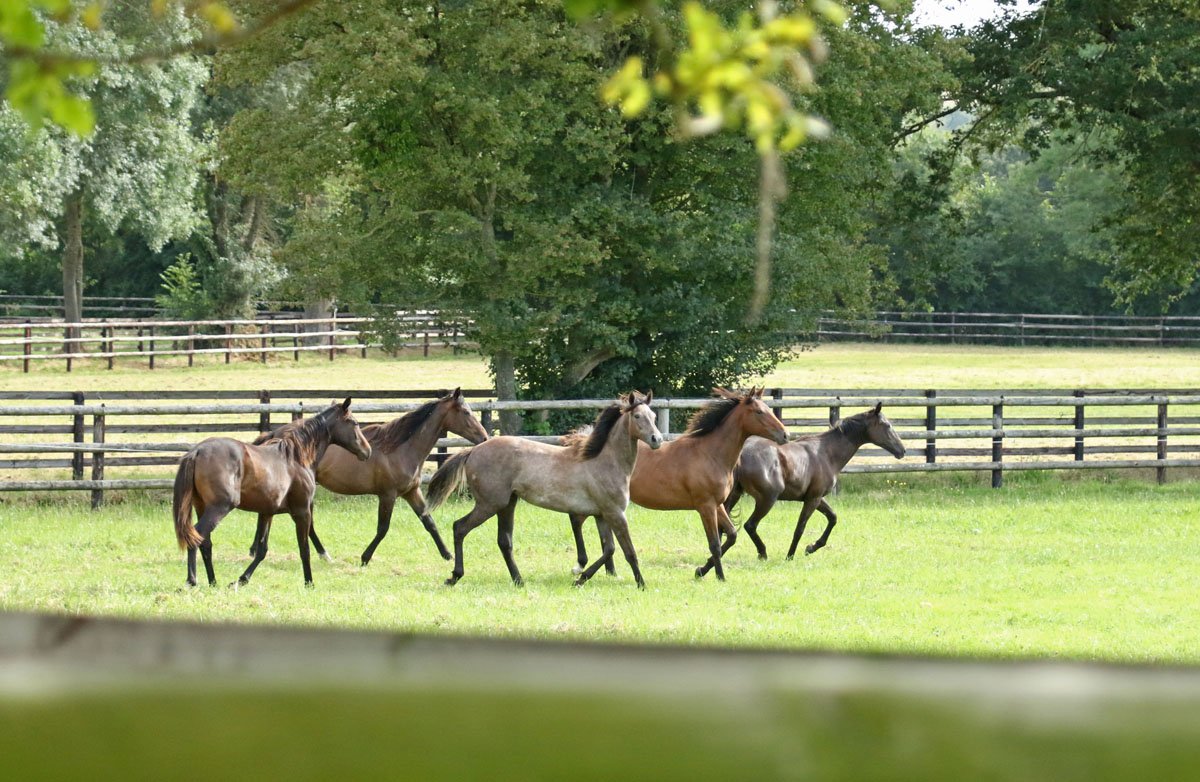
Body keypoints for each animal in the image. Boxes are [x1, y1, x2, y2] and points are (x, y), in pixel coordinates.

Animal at [172, 399, 371, 588]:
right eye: (354, 422)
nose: (367, 451)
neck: (296, 457)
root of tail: (197, 451)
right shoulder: (302, 512)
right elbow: (304, 549)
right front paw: (309, 583)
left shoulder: (267, 513)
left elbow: (261, 550)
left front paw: (241, 580)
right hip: (219, 508)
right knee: (196, 536)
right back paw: (191, 581)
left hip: (201, 507)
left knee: (205, 542)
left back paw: (213, 582)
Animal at [249, 388, 489, 566]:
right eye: (466, 412)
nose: (484, 437)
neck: (400, 448)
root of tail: (274, 434)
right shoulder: (388, 495)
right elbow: (383, 529)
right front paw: (365, 558)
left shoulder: (411, 492)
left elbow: (429, 521)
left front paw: (447, 554)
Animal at [425, 392, 662, 588]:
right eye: (637, 416)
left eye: (653, 416)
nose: (657, 439)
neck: (604, 461)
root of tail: (473, 451)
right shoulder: (616, 514)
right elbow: (629, 551)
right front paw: (641, 584)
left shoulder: (602, 515)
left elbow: (609, 549)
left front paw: (580, 578)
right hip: (489, 504)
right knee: (460, 528)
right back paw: (455, 576)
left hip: (507, 504)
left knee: (504, 542)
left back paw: (518, 580)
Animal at [570, 387, 789, 581]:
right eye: (759, 412)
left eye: (769, 409)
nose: (785, 435)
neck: (710, 454)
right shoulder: (705, 506)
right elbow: (715, 545)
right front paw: (719, 576)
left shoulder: (717, 505)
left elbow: (732, 535)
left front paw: (701, 570)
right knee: (577, 520)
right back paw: (581, 566)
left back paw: (608, 572)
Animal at [715, 403, 905, 567]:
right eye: (887, 425)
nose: (902, 451)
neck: (827, 453)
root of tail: (741, 455)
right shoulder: (812, 499)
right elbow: (800, 528)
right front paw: (791, 555)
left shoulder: (816, 498)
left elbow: (833, 517)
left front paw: (812, 547)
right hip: (766, 499)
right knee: (750, 525)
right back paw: (761, 553)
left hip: (734, 495)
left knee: (723, 527)